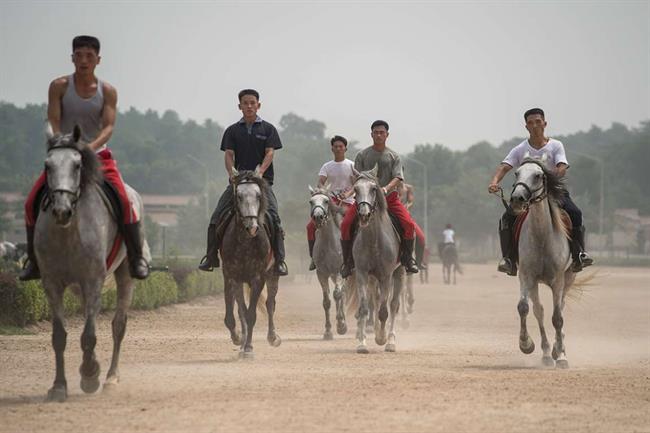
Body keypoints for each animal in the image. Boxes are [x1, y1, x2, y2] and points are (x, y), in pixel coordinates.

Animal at [35, 123, 148, 400]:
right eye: (47, 166)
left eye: (77, 165)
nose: (61, 210)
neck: (68, 231)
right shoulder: (51, 282)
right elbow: (59, 335)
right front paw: (59, 386)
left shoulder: (93, 278)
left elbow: (88, 334)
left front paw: (89, 376)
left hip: (124, 273)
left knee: (118, 325)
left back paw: (110, 378)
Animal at [221, 167, 280, 360]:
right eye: (238, 196)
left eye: (259, 196)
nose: (252, 227)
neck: (246, 242)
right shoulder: (232, 277)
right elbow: (235, 315)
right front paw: (239, 340)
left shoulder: (258, 278)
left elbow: (251, 314)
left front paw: (248, 348)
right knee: (239, 308)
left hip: (272, 275)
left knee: (270, 304)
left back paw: (273, 337)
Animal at [306, 184, 346, 340]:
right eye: (311, 201)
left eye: (326, 201)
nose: (318, 216)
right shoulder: (321, 273)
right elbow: (327, 301)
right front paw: (328, 331)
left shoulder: (340, 271)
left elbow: (337, 295)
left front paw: (341, 326)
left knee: (342, 293)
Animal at [350, 165, 400, 352]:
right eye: (356, 189)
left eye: (373, 189)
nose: (364, 214)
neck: (374, 241)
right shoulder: (362, 273)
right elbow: (364, 308)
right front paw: (362, 343)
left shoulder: (386, 275)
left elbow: (384, 311)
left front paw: (381, 339)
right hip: (372, 278)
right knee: (376, 300)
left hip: (399, 273)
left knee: (393, 305)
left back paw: (390, 341)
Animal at [508, 155, 576, 368]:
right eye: (516, 173)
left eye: (538, 175)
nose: (517, 199)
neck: (542, 237)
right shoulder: (526, 276)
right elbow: (524, 308)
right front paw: (526, 344)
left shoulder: (558, 280)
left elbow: (558, 318)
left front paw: (561, 356)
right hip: (535, 284)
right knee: (539, 311)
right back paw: (547, 353)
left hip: (569, 278)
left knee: (560, 309)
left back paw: (559, 349)